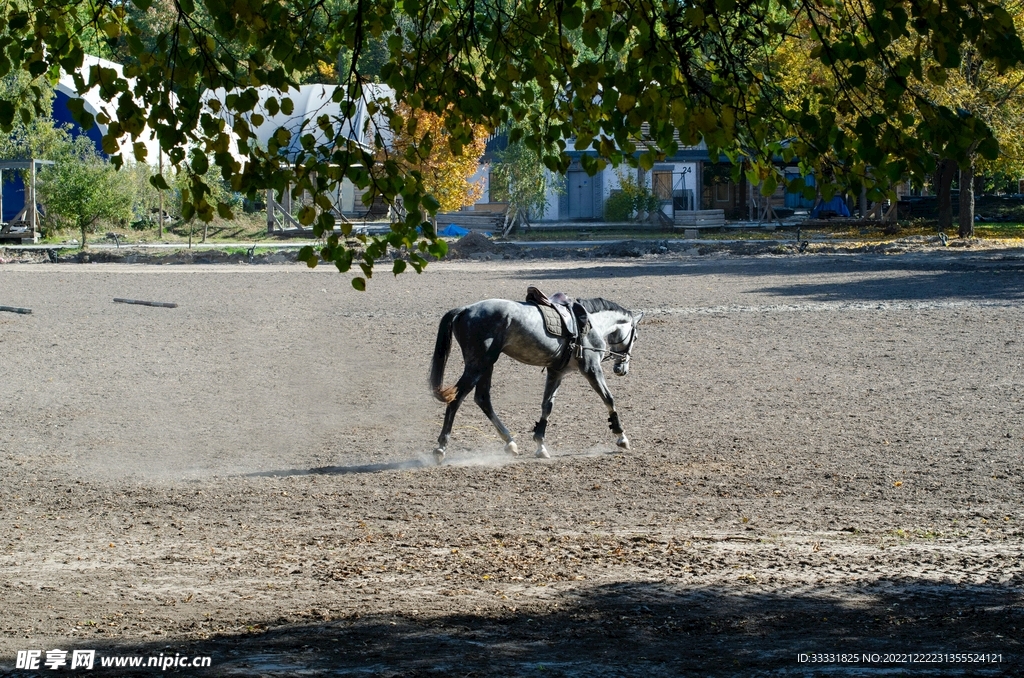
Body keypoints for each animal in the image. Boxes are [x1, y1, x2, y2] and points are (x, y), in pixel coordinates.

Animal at [428, 295, 643, 463]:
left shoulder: (556, 372)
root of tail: (465, 310)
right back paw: (440, 448)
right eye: (635, 337)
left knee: (482, 399)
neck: (591, 324)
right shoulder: (591, 368)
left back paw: (510, 443)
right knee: (457, 399)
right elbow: (609, 399)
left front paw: (540, 445)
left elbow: (547, 406)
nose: (621, 368)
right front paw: (621, 436)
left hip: (486, 365)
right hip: (478, 364)